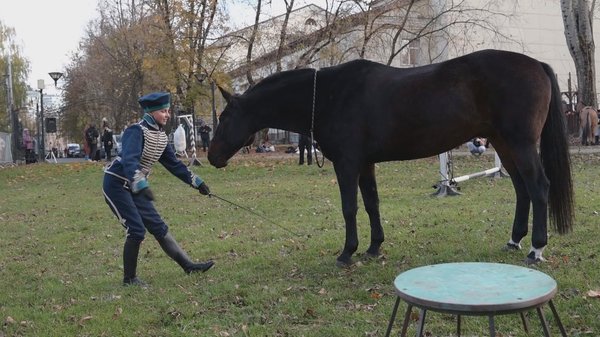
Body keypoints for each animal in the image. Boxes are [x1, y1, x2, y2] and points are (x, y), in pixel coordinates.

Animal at [209, 49, 576, 266]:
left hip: (520, 143)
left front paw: (347, 252)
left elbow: (350, 207)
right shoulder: (365, 164)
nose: (212, 156)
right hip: (504, 143)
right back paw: (514, 241)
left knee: (539, 187)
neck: (329, 95)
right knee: (521, 189)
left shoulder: (347, 164)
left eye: (224, 118)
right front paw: (374, 247)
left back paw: (536, 248)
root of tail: (536, 65)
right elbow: (372, 203)